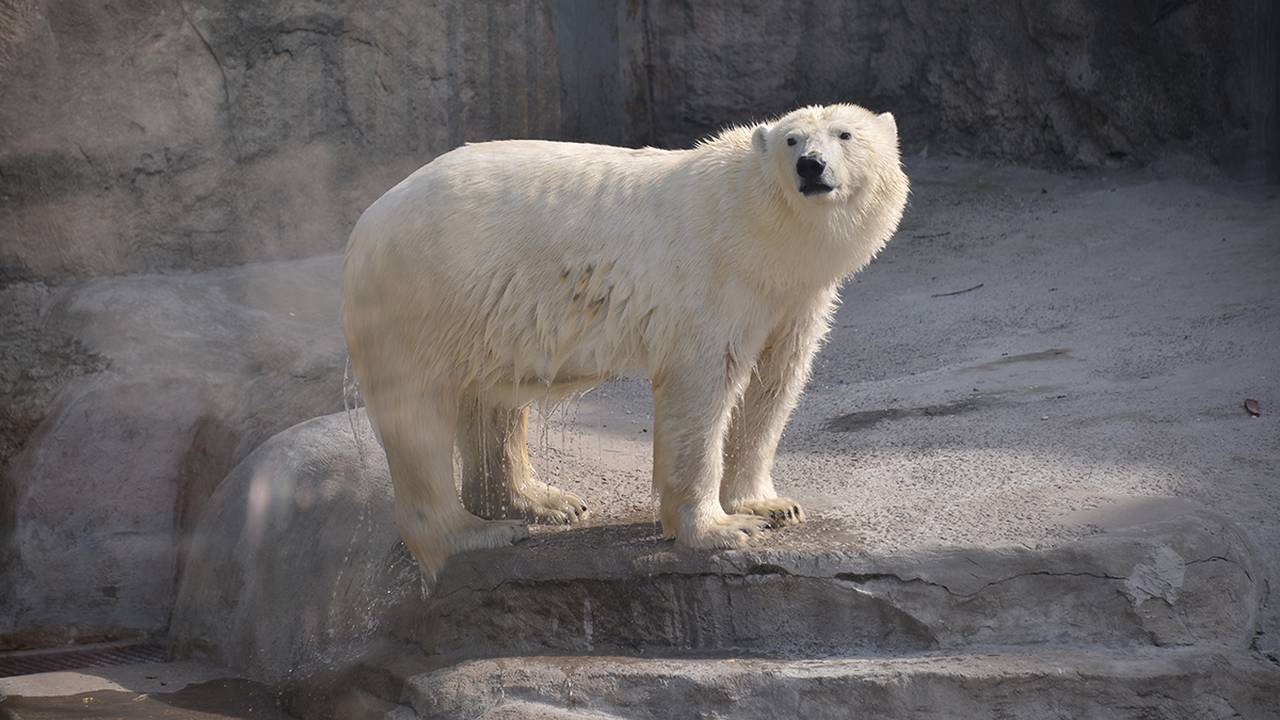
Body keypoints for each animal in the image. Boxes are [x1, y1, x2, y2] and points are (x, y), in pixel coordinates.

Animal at [343, 102, 911, 576]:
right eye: (792, 139)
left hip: (483, 314)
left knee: (492, 400)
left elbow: (774, 383)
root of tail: (366, 223)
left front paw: (771, 505)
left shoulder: (792, 300)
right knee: (418, 418)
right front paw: (722, 528)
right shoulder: (711, 285)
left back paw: (543, 501)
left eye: (845, 134)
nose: (811, 167)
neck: (752, 232)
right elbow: (703, 386)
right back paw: (475, 532)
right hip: (422, 298)